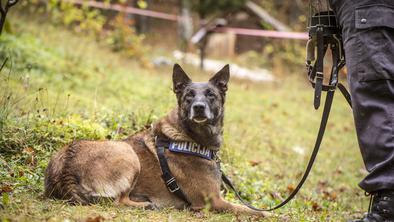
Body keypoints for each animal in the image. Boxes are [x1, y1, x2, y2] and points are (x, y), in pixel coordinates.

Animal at [43, 63, 270, 218]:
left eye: (211, 95)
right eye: (189, 95)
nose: (198, 107)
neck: (190, 137)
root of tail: (66, 165)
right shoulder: (213, 201)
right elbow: (251, 210)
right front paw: (271, 213)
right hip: (127, 154)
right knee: (118, 201)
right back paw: (145, 204)